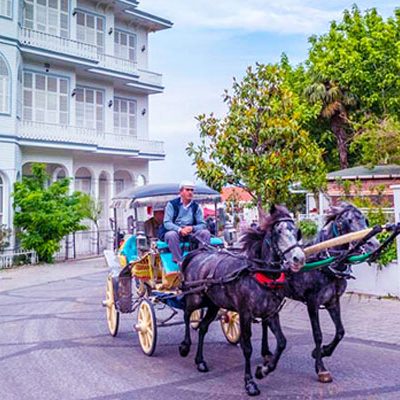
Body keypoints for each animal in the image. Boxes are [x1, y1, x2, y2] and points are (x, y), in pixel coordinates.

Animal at [179, 205, 305, 397]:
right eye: (278, 231)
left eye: (296, 231)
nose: (299, 258)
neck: (259, 273)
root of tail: (196, 254)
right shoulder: (245, 314)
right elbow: (247, 348)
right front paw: (250, 383)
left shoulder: (271, 314)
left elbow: (282, 342)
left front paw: (263, 370)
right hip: (195, 298)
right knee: (187, 315)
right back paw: (185, 346)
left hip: (213, 305)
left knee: (202, 327)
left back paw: (200, 361)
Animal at [261, 202, 380, 383]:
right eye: (347, 221)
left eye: (365, 220)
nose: (374, 245)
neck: (324, 262)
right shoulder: (312, 302)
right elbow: (317, 334)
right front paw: (321, 368)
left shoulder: (332, 301)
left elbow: (340, 332)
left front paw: (323, 351)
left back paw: (266, 353)